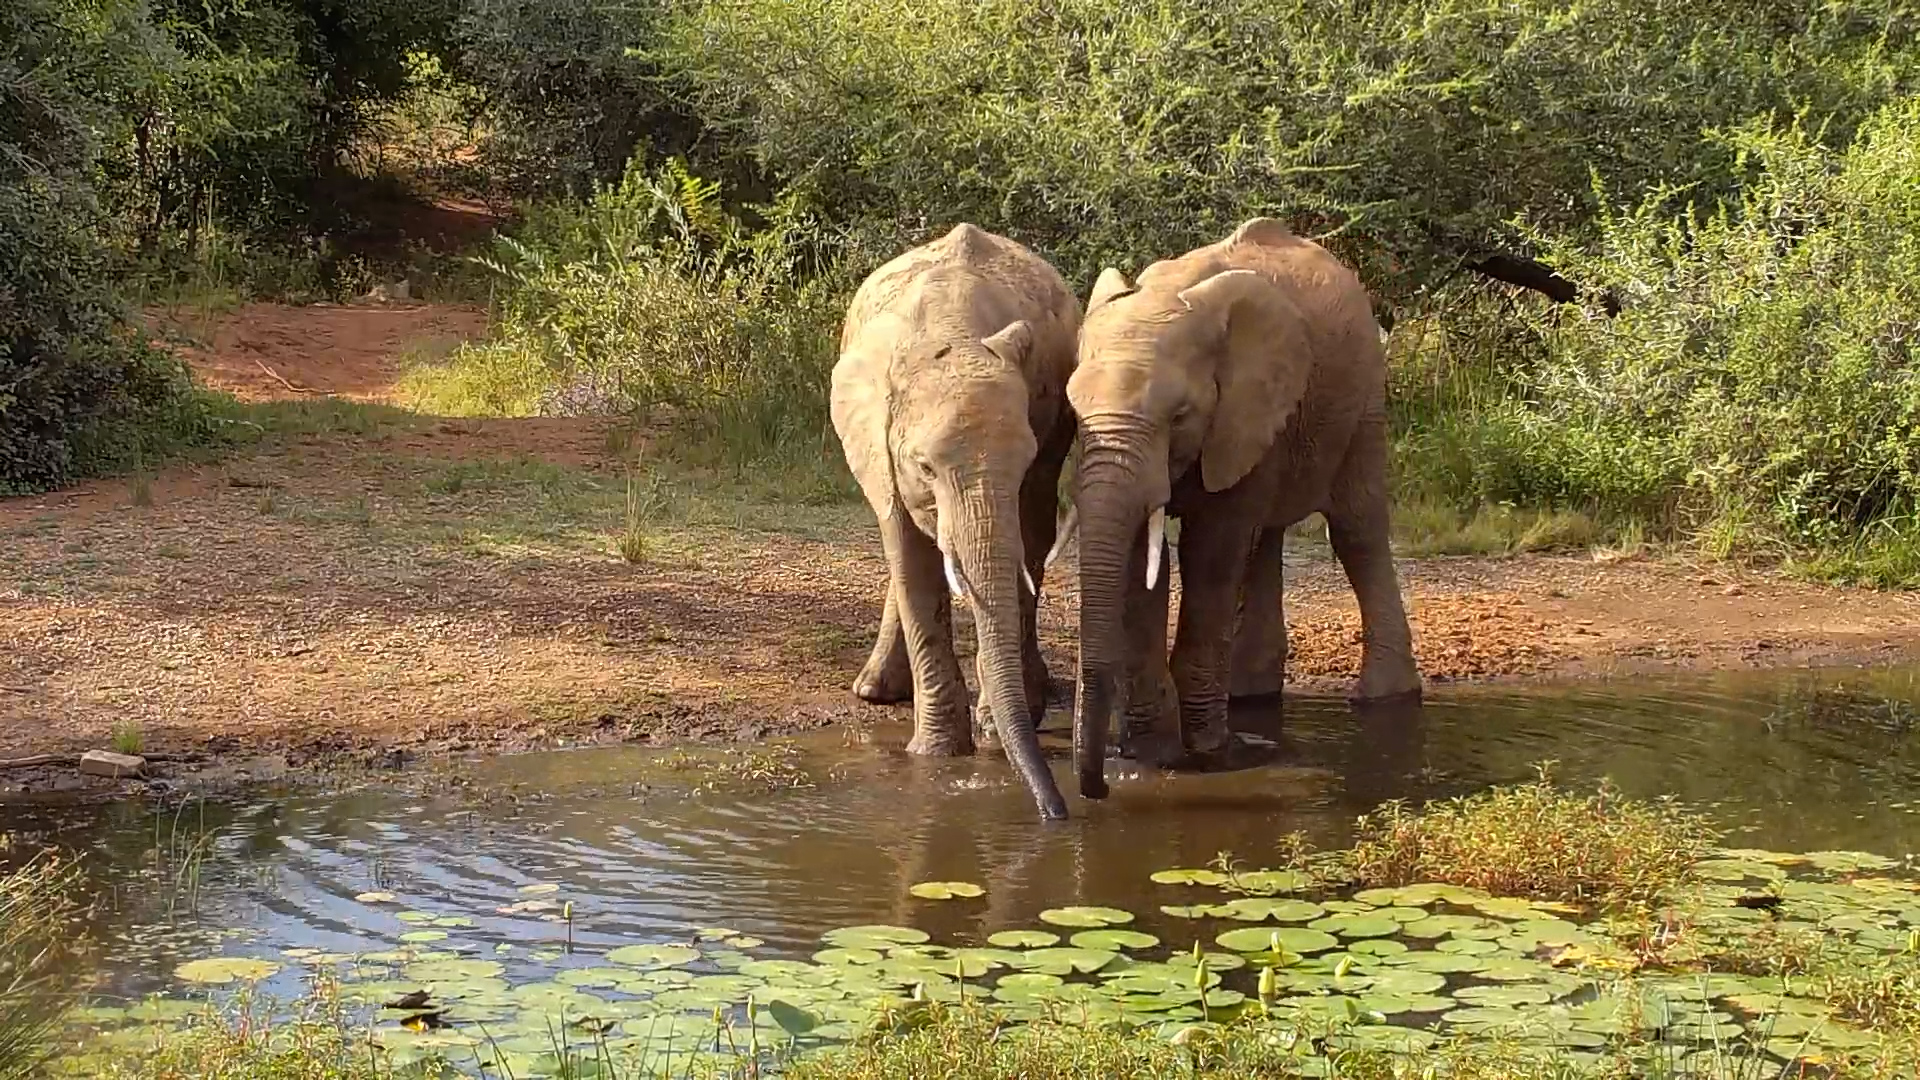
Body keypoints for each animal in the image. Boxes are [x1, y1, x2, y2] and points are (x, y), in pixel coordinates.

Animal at [830, 223, 1079, 821]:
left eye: (1021, 461)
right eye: (924, 466)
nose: (1057, 813)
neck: (949, 329)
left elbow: (1028, 537)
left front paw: (990, 732)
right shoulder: (880, 444)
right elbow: (908, 555)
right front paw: (938, 756)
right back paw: (875, 692)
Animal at [1064, 216, 1421, 800]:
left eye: (1180, 415)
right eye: (1073, 410)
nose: (1096, 789)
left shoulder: (1241, 410)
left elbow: (1212, 550)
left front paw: (1207, 754)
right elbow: (1143, 563)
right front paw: (1152, 756)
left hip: (1365, 389)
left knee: (1357, 529)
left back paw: (1385, 700)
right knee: (1266, 537)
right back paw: (1252, 696)